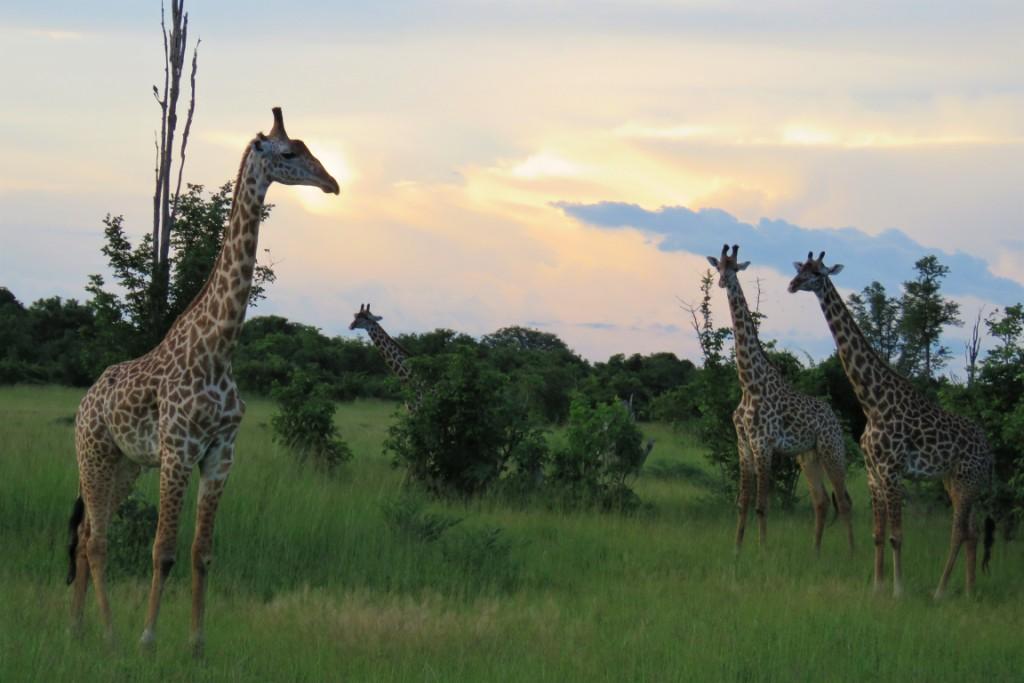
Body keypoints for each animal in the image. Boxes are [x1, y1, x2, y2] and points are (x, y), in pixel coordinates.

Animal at [68, 104, 339, 655]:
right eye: (288, 153)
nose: (332, 182)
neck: (218, 350)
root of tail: (85, 402)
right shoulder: (178, 450)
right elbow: (163, 550)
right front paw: (148, 639)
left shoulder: (219, 454)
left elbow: (201, 552)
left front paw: (196, 643)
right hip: (94, 454)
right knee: (99, 540)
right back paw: (109, 633)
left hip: (127, 465)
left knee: (86, 536)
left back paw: (79, 626)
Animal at [704, 245, 856, 557]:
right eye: (718, 267)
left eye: (735, 268)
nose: (723, 281)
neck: (749, 383)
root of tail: (834, 418)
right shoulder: (743, 444)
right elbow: (743, 502)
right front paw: (737, 548)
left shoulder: (763, 444)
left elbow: (762, 505)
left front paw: (762, 549)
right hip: (807, 456)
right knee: (822, 500)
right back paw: (815, 552)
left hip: (832, 451)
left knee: (844, 500)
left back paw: (851, 552)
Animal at [786, 250, 995, 598]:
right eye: (801, 267)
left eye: (816, 272)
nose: (791, 284)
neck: (872, 401)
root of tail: (990, 450)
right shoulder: (874, 473)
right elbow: (878, 534)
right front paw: (877, 585)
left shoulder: (893, 471)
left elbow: (897, 535)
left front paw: (898, 589)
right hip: (955, 481)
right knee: (973, 529)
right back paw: (968, 589)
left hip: (967, 481)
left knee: (958, 531)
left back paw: (940, 591)